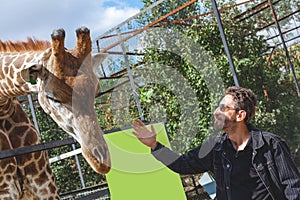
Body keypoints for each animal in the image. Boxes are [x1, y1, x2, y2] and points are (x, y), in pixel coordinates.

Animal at [0, 26, 111, 198]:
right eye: (52, 97)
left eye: (96, 92)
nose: (101, 162)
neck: (3, 106)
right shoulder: (6, 190)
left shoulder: (44, 184)